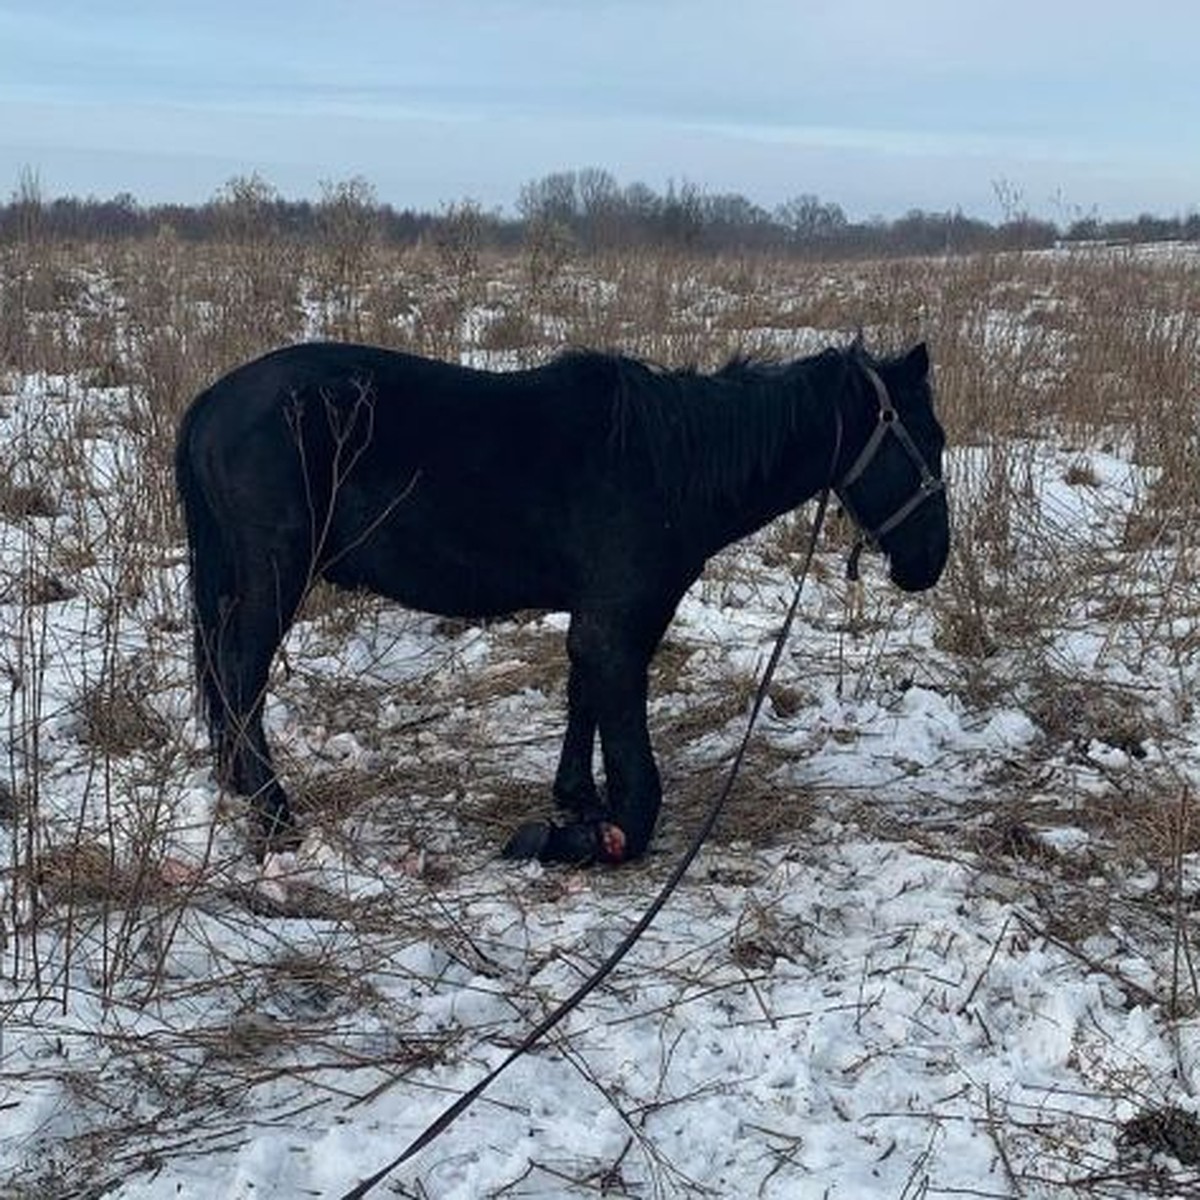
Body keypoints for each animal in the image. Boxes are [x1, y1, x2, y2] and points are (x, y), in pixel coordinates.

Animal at [175, 338, 945, 864]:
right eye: (928, 441)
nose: (929, 563)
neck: (669, 463)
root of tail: (211, 403)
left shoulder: (598, 616)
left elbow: (581, 697)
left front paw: (575, 797)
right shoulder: (620, 621)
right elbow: (631, 755)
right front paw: (593, 833)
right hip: (274, 578)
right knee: (241, 679)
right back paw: (275, 816)